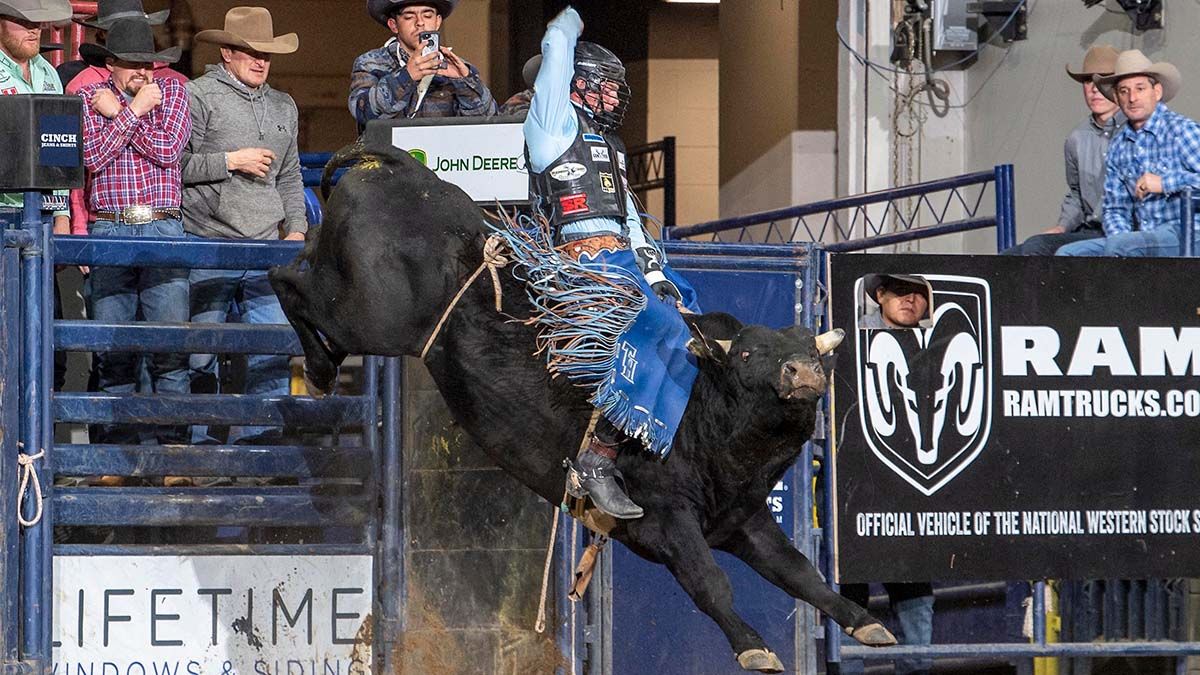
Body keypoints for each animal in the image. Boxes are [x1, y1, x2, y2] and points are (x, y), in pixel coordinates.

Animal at [267, 140, 897, 667]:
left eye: (810, 348)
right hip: (366, 313)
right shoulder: (669, 520)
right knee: (287, 279)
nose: (803, 372)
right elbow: (711, 584)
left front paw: (867, 625)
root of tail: (400, 169)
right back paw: (318, 367)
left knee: (297, 267)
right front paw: (754, 650)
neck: (701, 410)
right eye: (746, 355)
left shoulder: (743, 519)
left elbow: (803, 575)